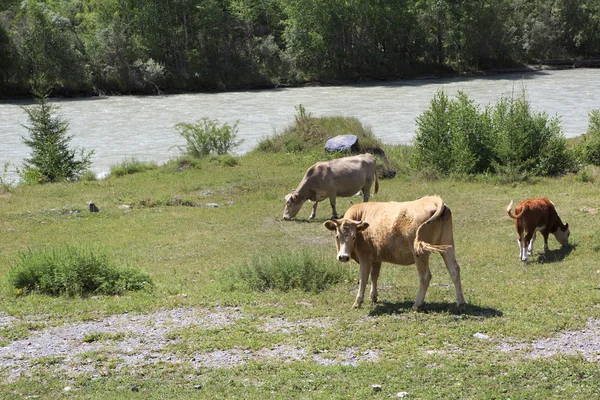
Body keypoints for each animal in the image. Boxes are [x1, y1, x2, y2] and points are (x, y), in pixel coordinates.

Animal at [326, 195, 466, 310]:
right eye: (337, 236)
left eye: (354, 237)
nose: (343, 257)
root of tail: (433, 199)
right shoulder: (376, 258)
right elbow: (374, 276)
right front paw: (373, 296)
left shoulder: (365, 257)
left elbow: (363, 278)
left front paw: (357, 302)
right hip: (448, 245)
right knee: (454, 269)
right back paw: (461, 302)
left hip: (419, 253)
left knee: (425, 276)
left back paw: (417, 304)